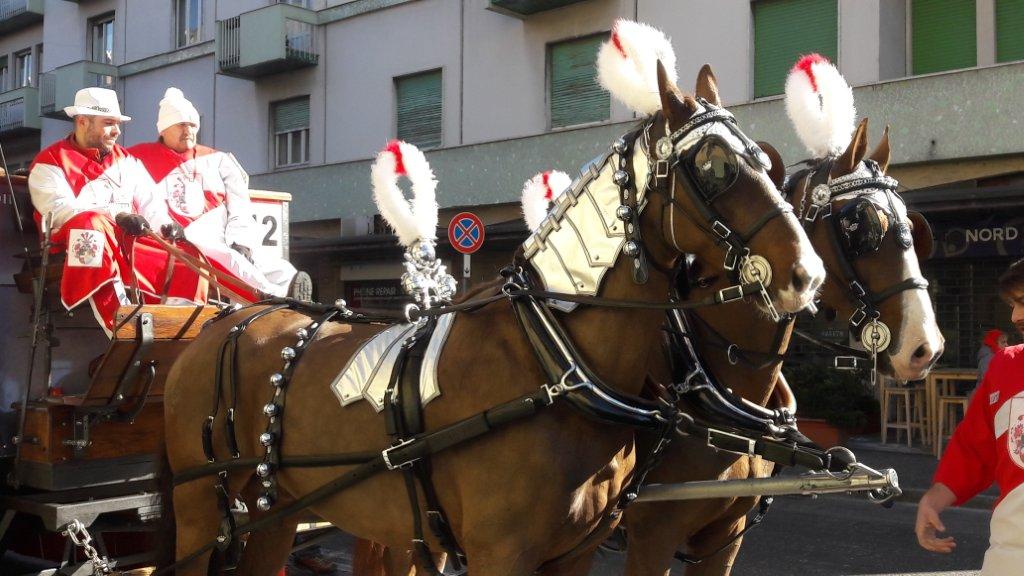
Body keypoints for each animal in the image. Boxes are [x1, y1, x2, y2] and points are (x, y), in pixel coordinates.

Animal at [160, 61, 825, 576]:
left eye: (766, 163)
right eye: (715, 167)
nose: (807, 274)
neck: (552, 362)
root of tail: (223, 321)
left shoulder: (578, 552)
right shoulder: (510, 551)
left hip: (277, 509)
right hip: (199, 508)